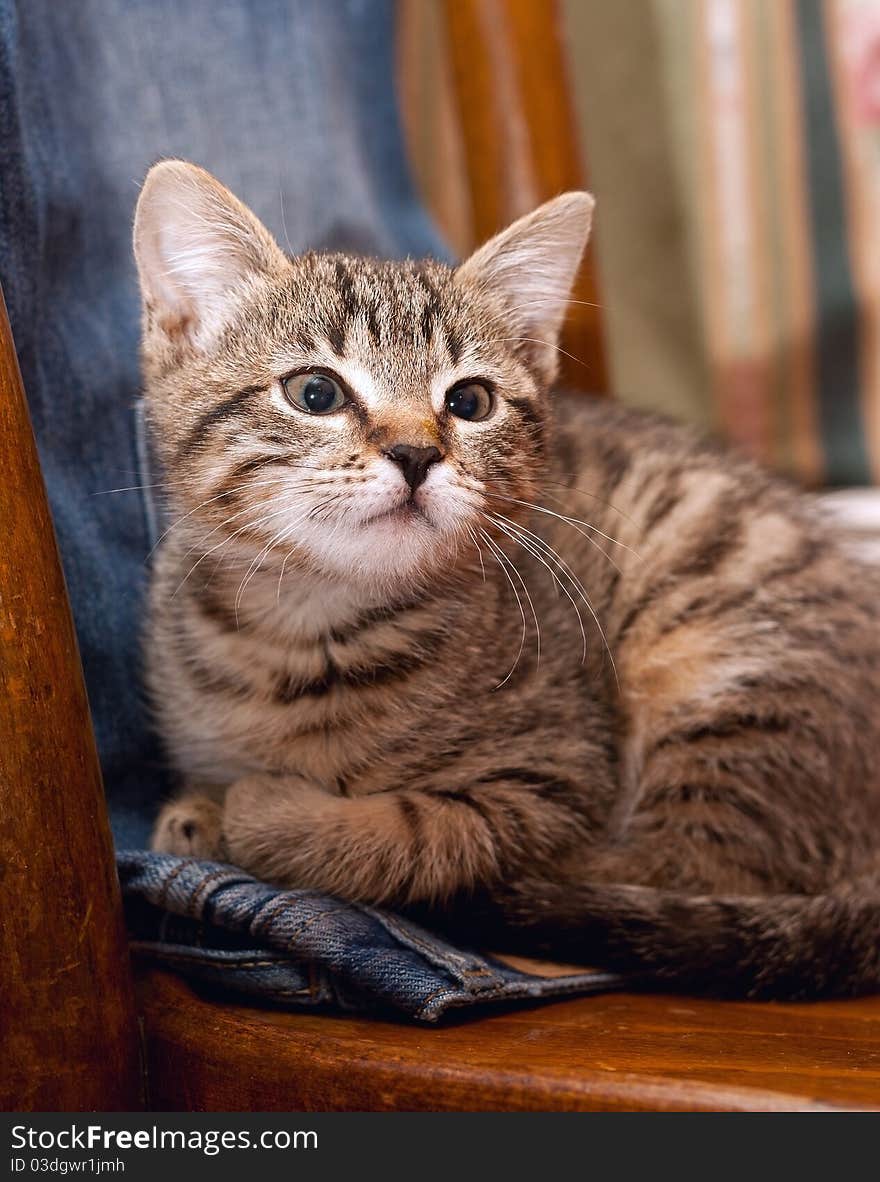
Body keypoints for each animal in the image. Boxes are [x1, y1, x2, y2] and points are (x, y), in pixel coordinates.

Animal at [134, 159, 878, 997]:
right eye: (314, 392)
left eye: (471, 401)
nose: (416, 454)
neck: (309, 629)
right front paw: (202, 807)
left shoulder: (555, 776)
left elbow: (421, 835)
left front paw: (265, 811)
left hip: (717, 658)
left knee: (666, 873)